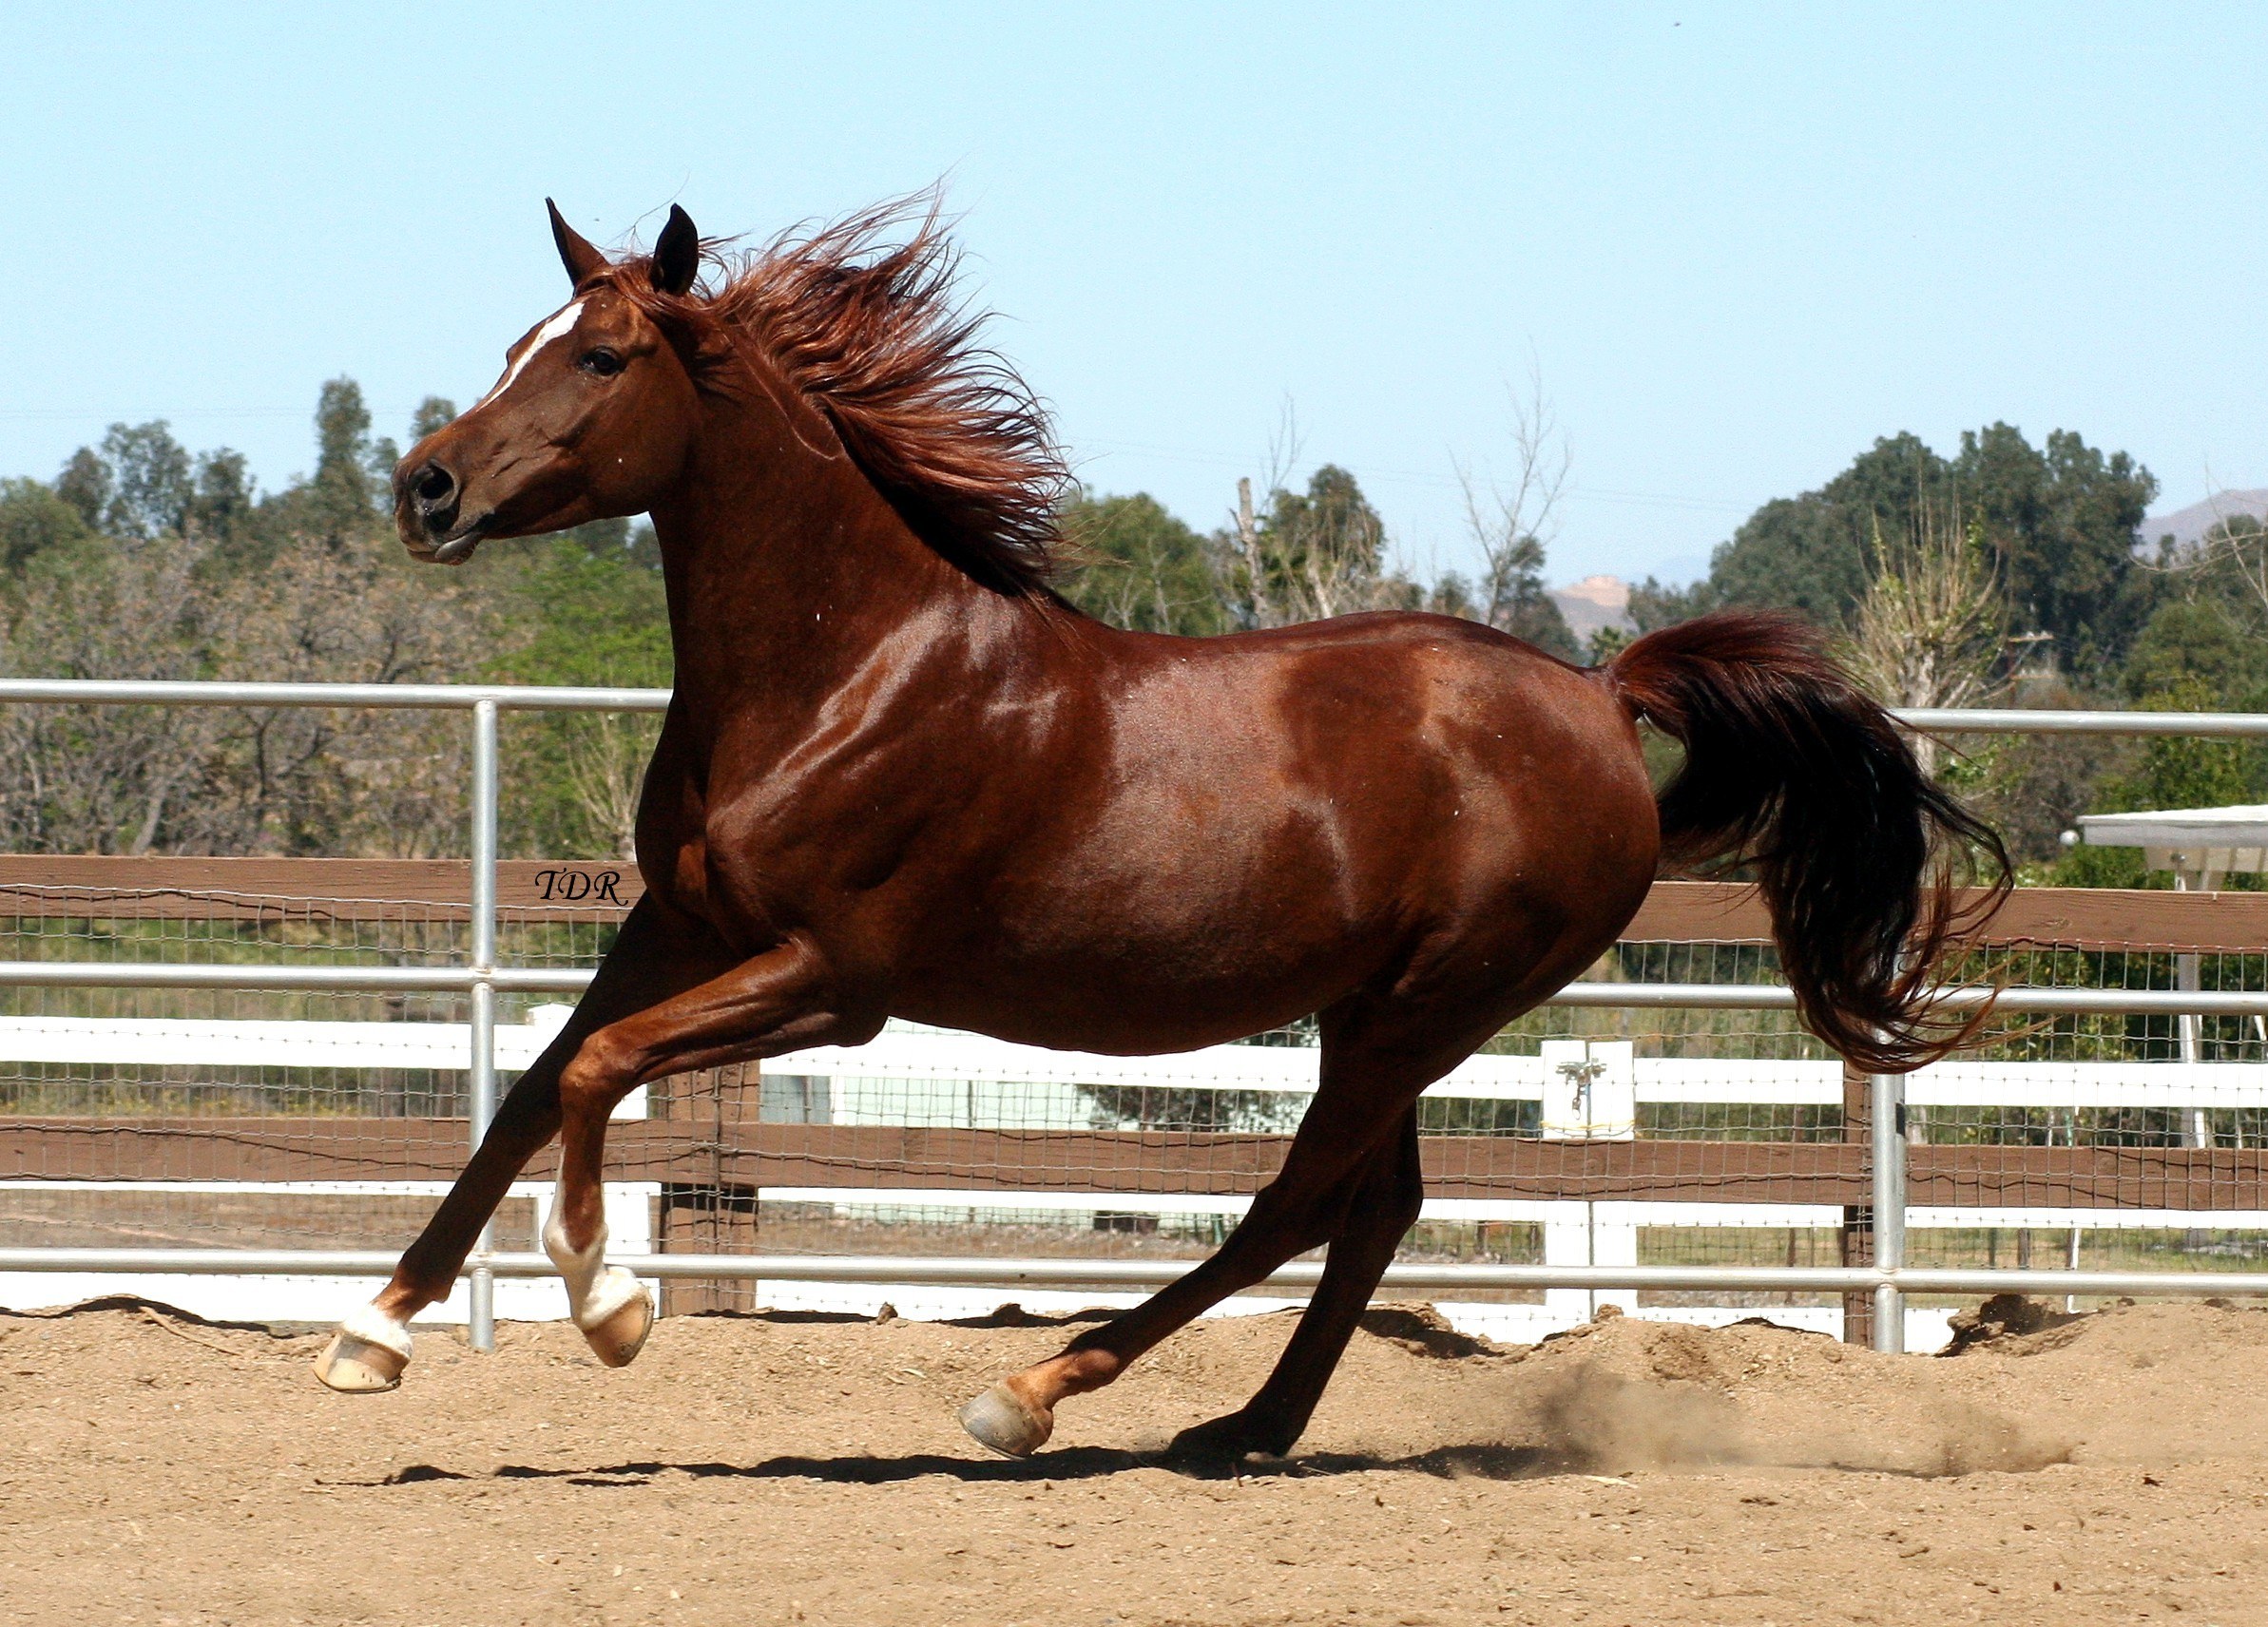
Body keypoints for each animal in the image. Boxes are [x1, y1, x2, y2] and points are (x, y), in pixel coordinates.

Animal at [312, 197, 2007, 1460]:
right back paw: (1243, 1430)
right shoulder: (680, 924)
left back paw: (1033, 1396)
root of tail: (1601, 693)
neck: (845, 673)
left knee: (1296, 1204)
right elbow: (528, 1085)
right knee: (1371, 1209)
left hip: (1428, 1003)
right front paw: (368, 1335)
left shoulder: (832, 979)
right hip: (1382, 1010)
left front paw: (605, 1302)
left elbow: (596, 1071)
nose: (424, 489)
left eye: (601, 357)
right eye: (517, 344)